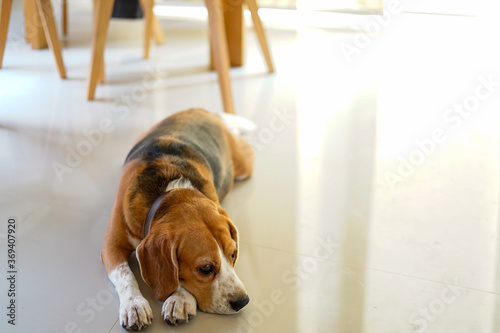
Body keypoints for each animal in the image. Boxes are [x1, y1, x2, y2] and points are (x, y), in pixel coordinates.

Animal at [102, 109, 256, 330]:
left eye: (233, 255)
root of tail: (205, 111)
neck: (170, 191)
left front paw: (180, 299)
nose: (242, 301)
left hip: (244, 166)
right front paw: (134, 305)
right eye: (205, 269)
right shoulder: (111, 246)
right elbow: (125, 275)